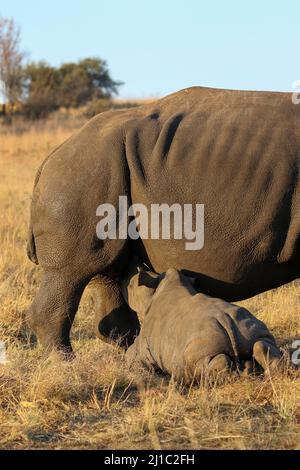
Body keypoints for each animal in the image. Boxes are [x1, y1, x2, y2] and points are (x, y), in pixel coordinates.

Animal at [26, 86, 300, 354]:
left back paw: (129, 353)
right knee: (73, 271)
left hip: (102, 170)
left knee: (107, 268)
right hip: (82, 175)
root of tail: (50, 158)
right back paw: (64, 361)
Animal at [119, 262, 282, 384]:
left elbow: (130, 355)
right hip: (250, 327)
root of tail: (225, 319)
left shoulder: (143, 347)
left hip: (202, 341)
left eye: (130, 286)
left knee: (205, 362)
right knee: (262, 343)